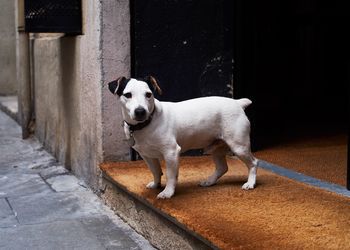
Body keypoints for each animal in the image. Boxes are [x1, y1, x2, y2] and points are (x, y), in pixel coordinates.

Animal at [108, 76, 258, 199]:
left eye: (148, 94)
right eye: (127, 95)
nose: (140, 111)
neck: (147, 123)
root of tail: (237, 103)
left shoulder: (171, 152)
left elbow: (170, 175)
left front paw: (168, 192)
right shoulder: (147, 156)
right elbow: (155, 171)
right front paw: (156, 184)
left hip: (239, 146)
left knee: (253, 163)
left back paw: (250, 183)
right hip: (216, 148)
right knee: (222, 168)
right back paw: (209, 181)